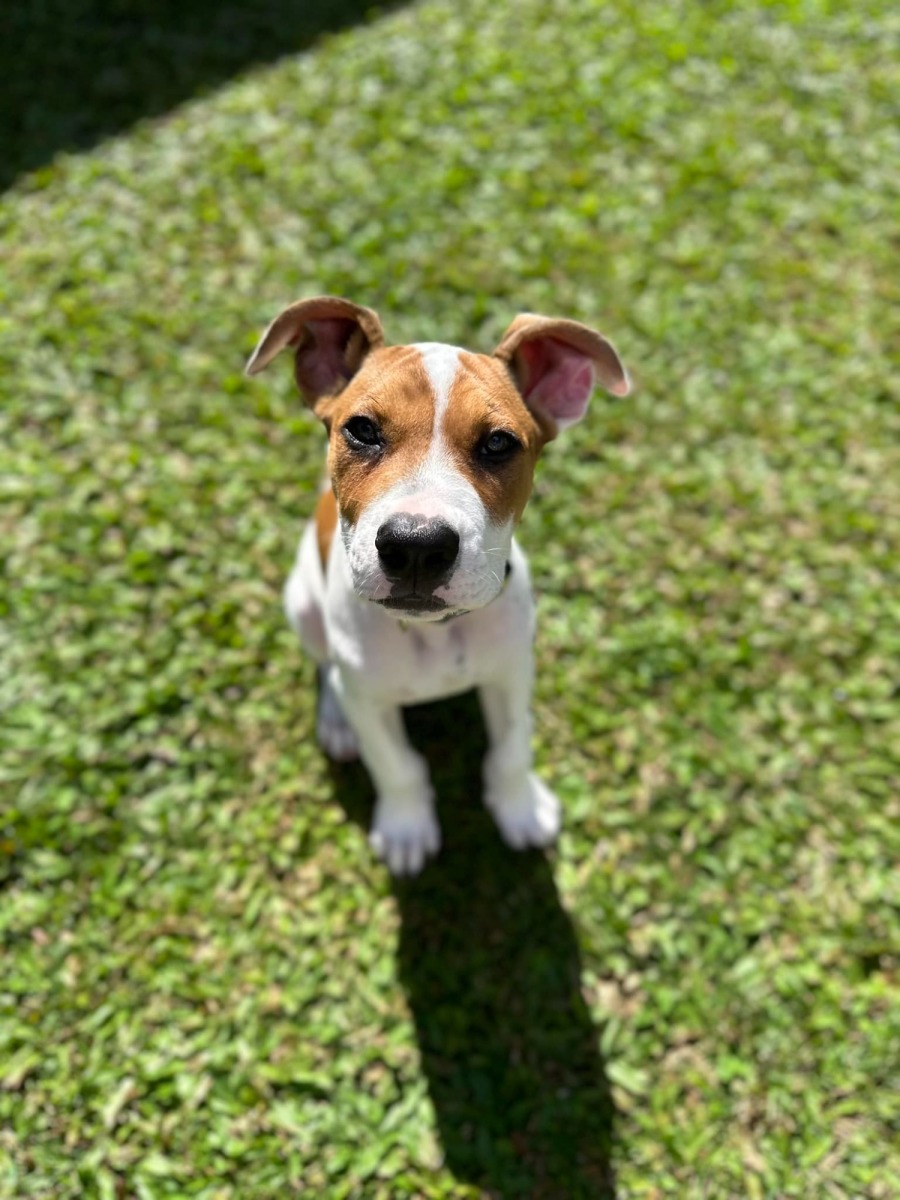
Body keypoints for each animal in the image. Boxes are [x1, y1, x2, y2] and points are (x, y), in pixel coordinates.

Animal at [246, 296, 629, 875]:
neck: (433, 632)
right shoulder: (372, 704)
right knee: (326, 666)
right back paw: (336, 721)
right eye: (361, 429)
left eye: (498, 443)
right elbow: (395, 764)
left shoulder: (512, 672)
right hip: (302, 606)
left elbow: (512, 747)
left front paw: (520, 807)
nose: (416, 547)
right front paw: (406, 828)